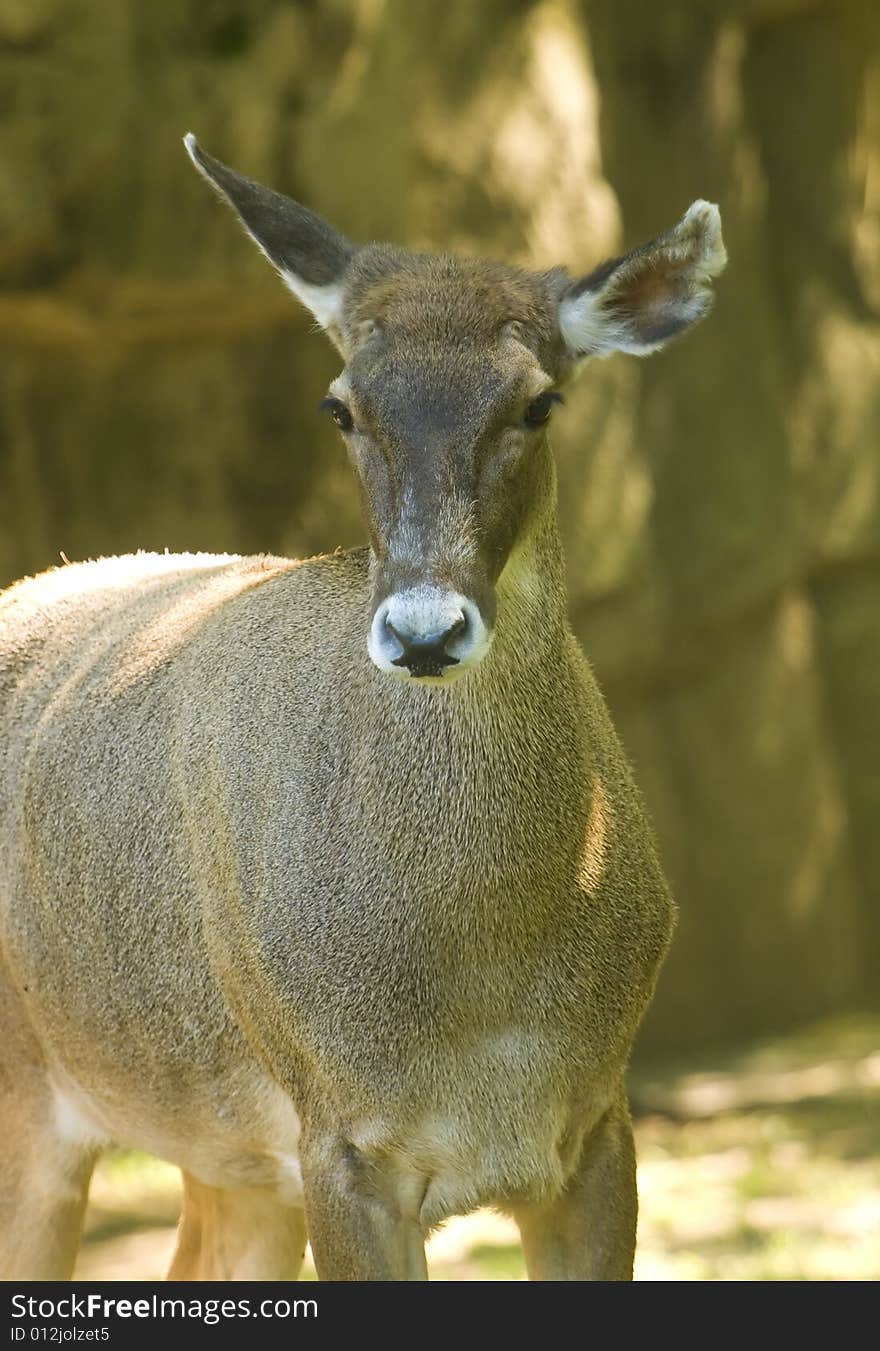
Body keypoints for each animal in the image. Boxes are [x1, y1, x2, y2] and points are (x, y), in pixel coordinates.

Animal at [0, 134, 729, 1275]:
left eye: (539, 402)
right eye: (339, 405)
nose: (425, 632)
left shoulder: (598, 1118)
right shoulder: (339, 1139)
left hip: (224, 1153)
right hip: (36, 1100)